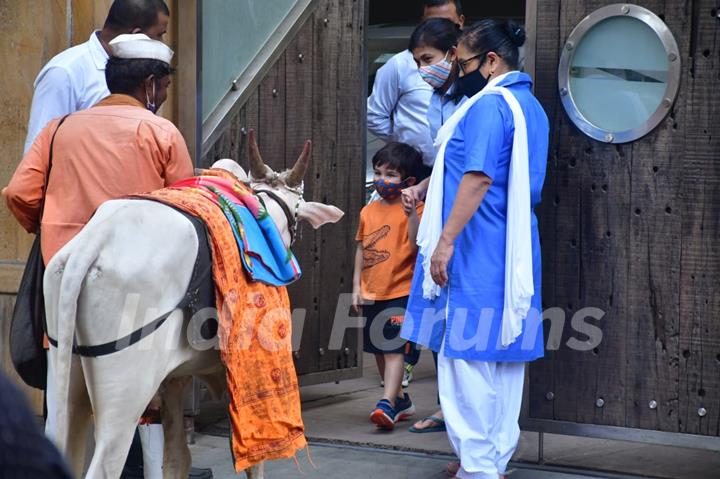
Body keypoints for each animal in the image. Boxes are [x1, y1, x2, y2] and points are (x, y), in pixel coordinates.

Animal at [44, 129, 344, 478]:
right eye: (297, 211)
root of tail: (92, 245)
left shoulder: (174, 379)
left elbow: (176, 457)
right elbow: (254, 460)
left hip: (65, 376)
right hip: (125, 395)